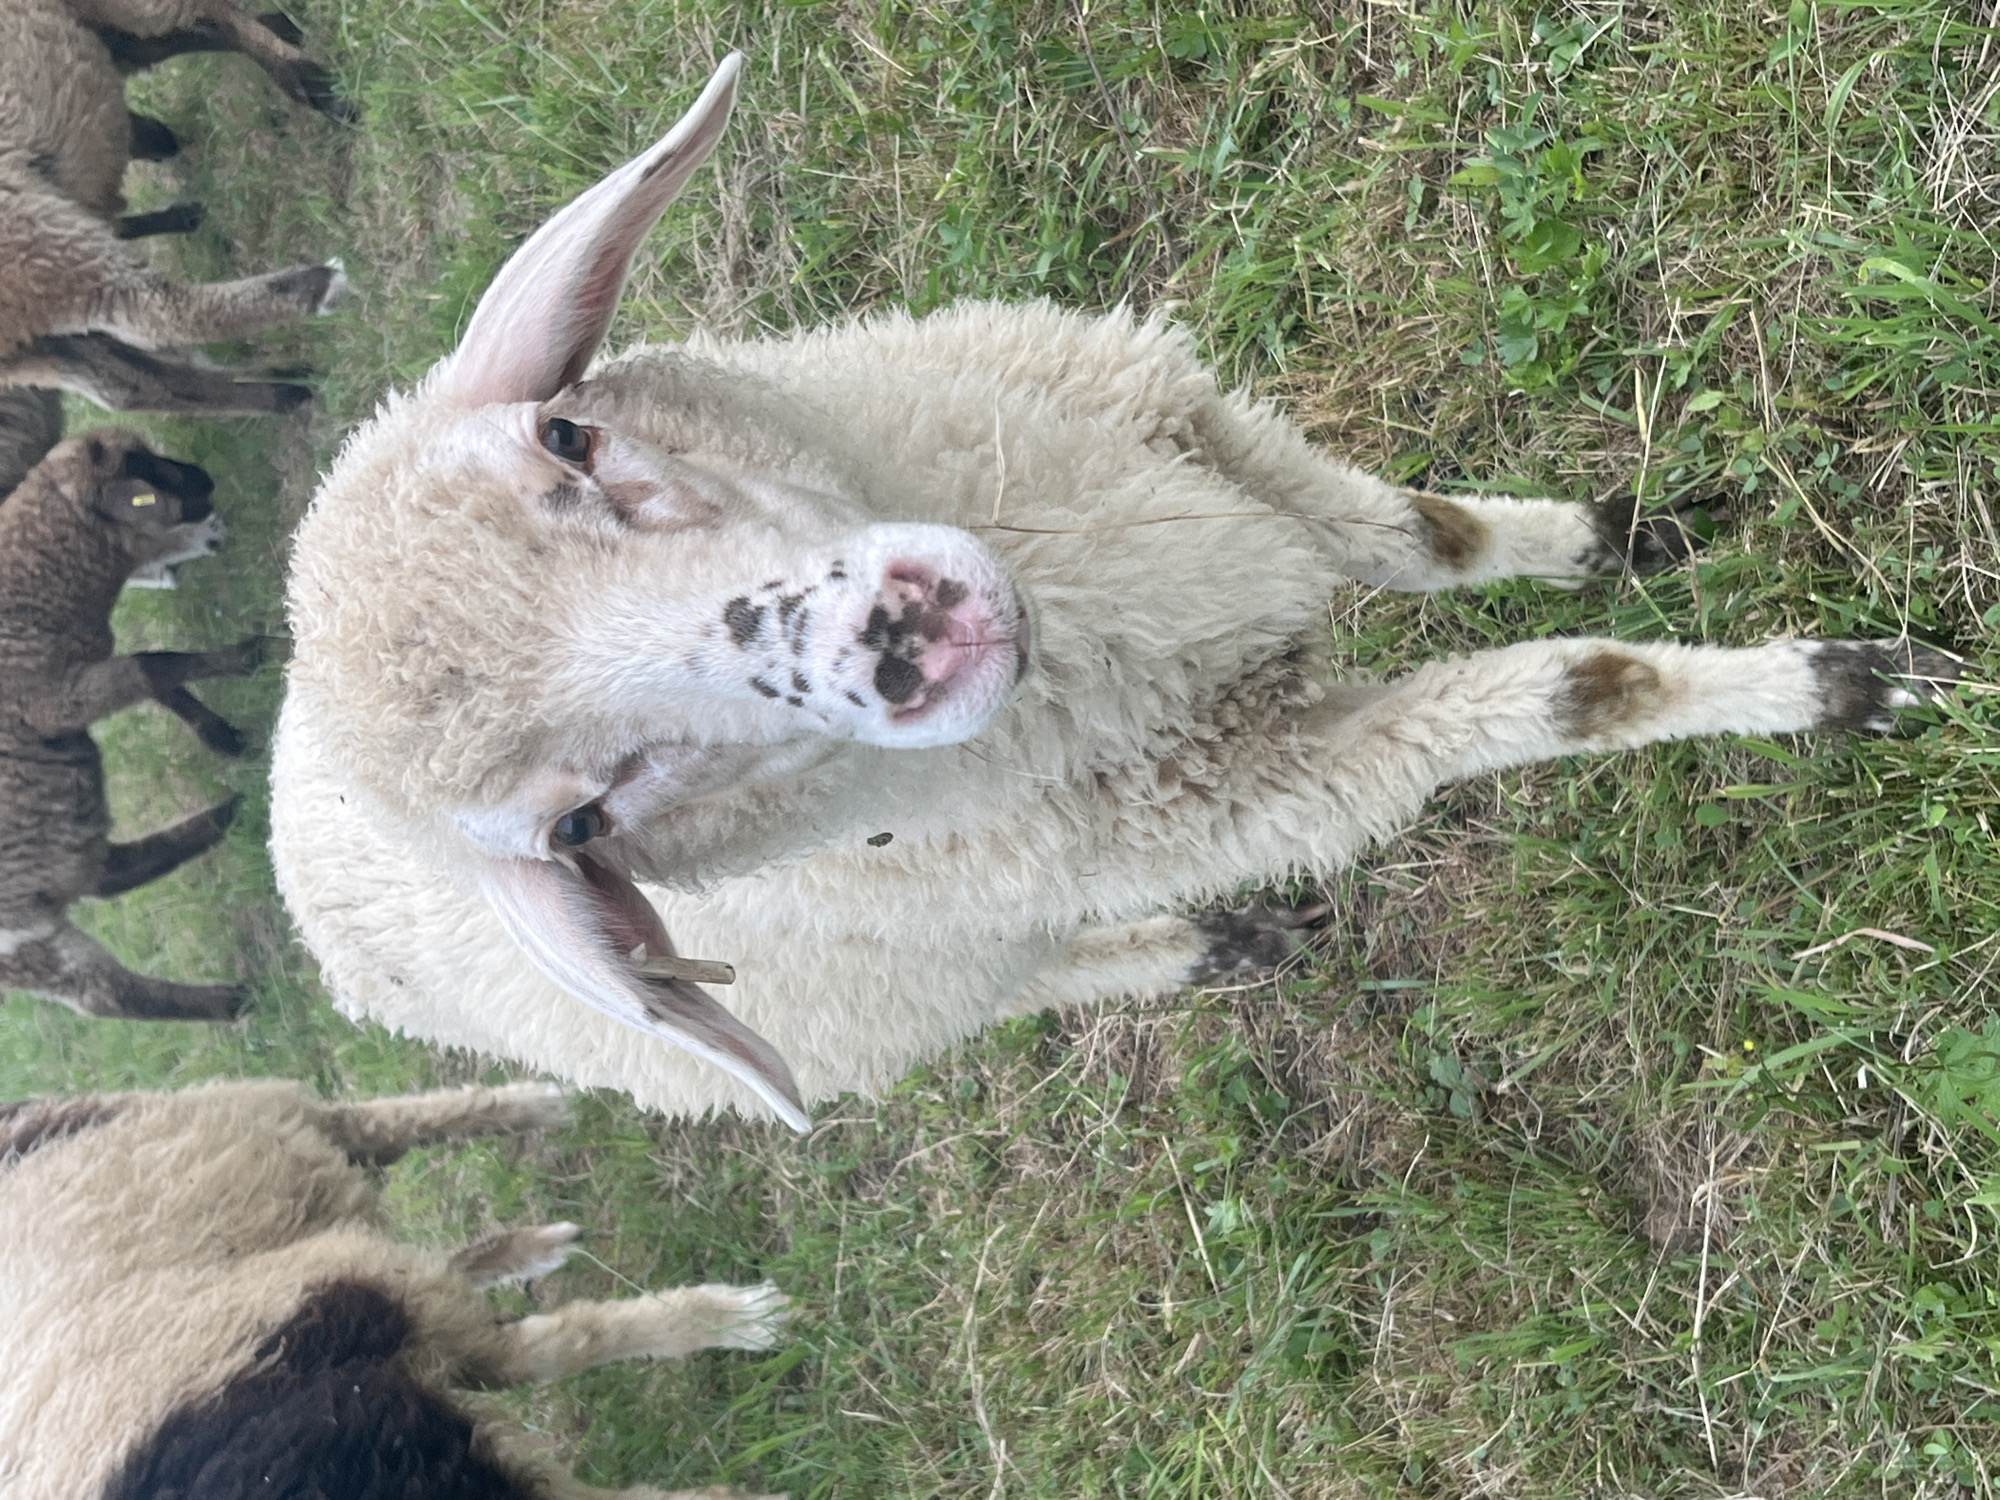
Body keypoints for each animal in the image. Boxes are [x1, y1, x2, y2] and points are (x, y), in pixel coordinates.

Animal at [0, 0, 351, 416]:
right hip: (33, 234)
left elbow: (173, 40)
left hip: (29, 338)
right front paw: (318, 86)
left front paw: (285, 29)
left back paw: (285, 392)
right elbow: (205, 22)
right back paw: (315, 286)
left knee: (133, 384)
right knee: (159, 312)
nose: (162, 143)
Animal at [0, 1078, 789, 1500]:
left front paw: (736, 1318)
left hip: (216, 1109)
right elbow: (521, 1358)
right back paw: (531, 1249)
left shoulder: (345, 1293)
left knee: (371, 1125)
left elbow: (540, 1353)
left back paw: (533, 1108)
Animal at [1, 428, 261, 1021]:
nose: (203, 483)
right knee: (107, 993)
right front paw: (244, 658)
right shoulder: (51, 700)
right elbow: (155, 665)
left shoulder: (82, 671)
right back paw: (231, 1002)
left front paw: (220, 735)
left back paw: (225, 816)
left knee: (106, 873)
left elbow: (154, 674)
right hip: (18, 932)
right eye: (140, 488)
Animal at [269, 54, 1956, 1133]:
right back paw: (1208, 952)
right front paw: (1837, 686)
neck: (1090, 599)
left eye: (567, 437)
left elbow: (1424, 539)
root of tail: (293, 833)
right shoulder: (1289, 773)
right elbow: (1575, 690)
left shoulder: (1183, 429)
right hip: (904, 1001)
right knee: (1040, 979)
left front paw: (1620, 530)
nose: (899, 641)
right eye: (578, 827)